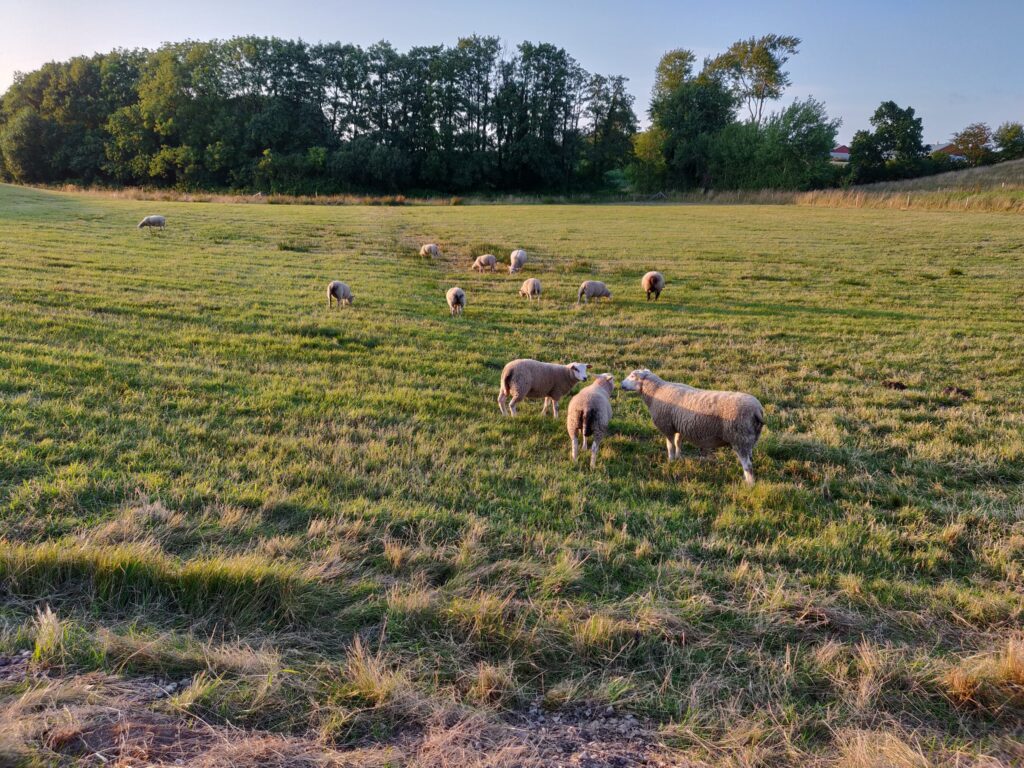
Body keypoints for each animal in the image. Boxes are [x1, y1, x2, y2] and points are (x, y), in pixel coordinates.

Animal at [620, 369, 765, 485]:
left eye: (632, 376)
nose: (621, 384)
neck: (656, 391)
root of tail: (757, 410)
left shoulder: (667, 427)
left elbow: (670, 445)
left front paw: (671, 461)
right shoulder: (678, 425)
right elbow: (678, 442)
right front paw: (678, 457)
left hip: (739, 438)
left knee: (747, 465)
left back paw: (750, 485)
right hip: (749, 439)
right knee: (750, 460)